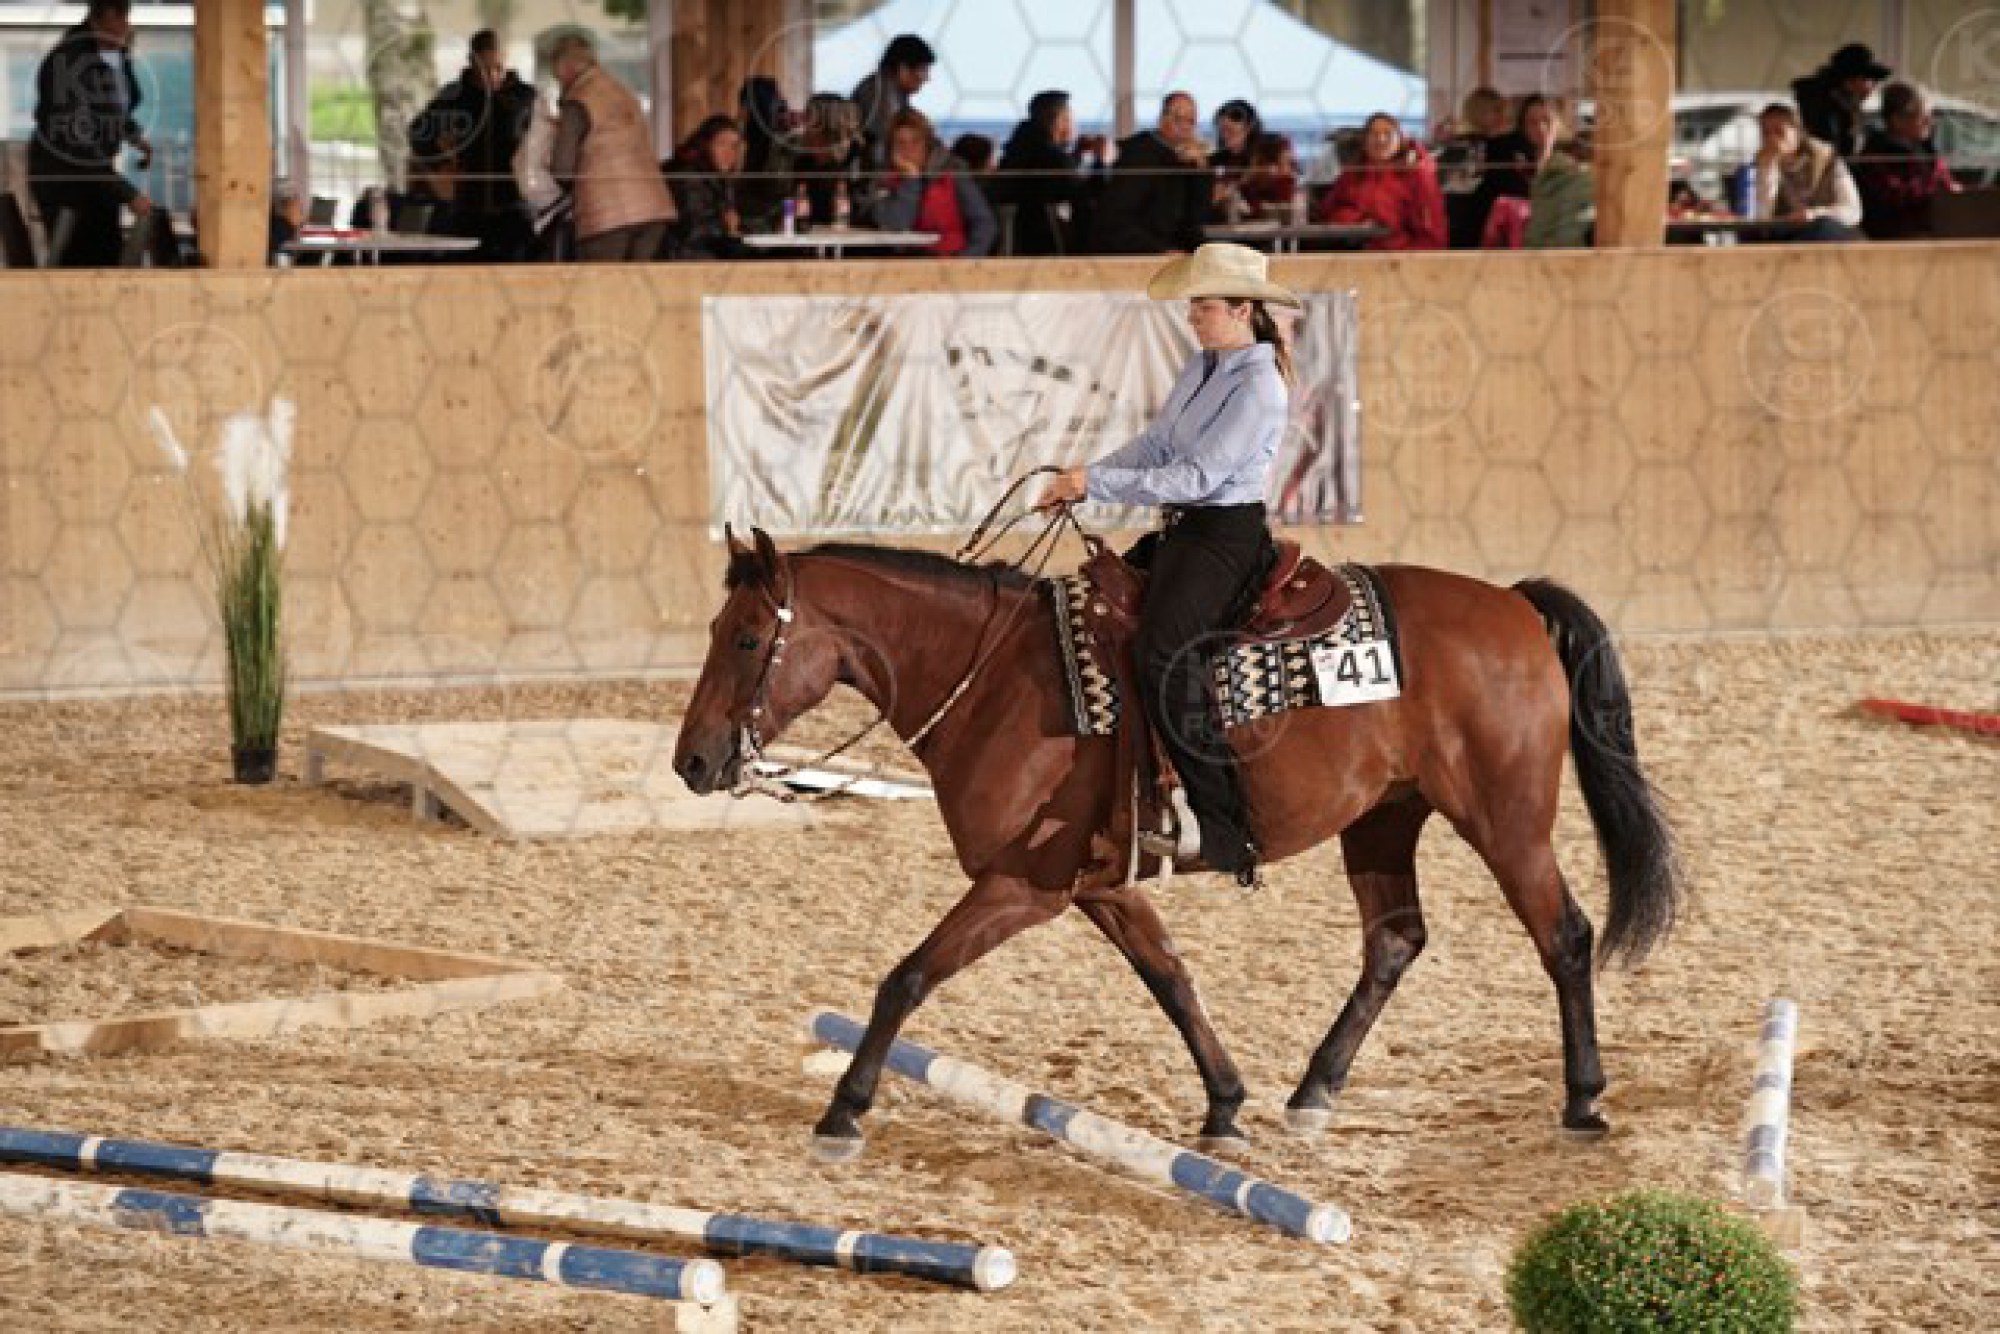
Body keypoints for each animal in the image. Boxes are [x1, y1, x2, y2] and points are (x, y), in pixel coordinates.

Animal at [675, 526, 1683, 1157]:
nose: (692, 760)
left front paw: (844, 1109)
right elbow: (1170, 979)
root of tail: (1512, 604)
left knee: (1563, 935)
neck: (993, 678)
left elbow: (908, 976)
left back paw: (1583, 1098)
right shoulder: (1101, 886)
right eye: (720, 629)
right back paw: (1313, 1092)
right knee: (1395, 940)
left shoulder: (1023, 885)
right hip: (1383, 818)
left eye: (748, 638)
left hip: (1506, 820)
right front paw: (1226, 1104)